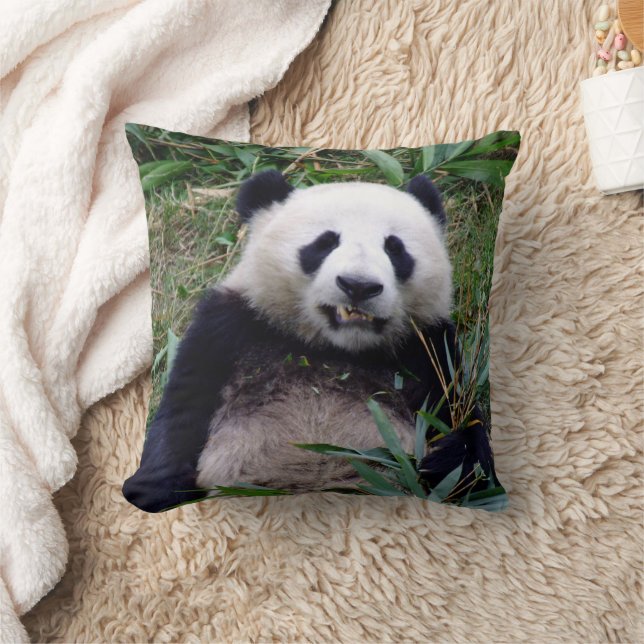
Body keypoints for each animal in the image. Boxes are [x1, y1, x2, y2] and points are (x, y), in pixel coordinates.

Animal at [123, 171, 497, 512]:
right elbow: (184, 413)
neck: (334, 348)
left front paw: (450, 456)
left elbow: (467, 436)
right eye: (325, 242)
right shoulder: (230, 327)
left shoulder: (429, 349)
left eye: (395, 248)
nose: (358, 285)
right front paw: (158, 489)